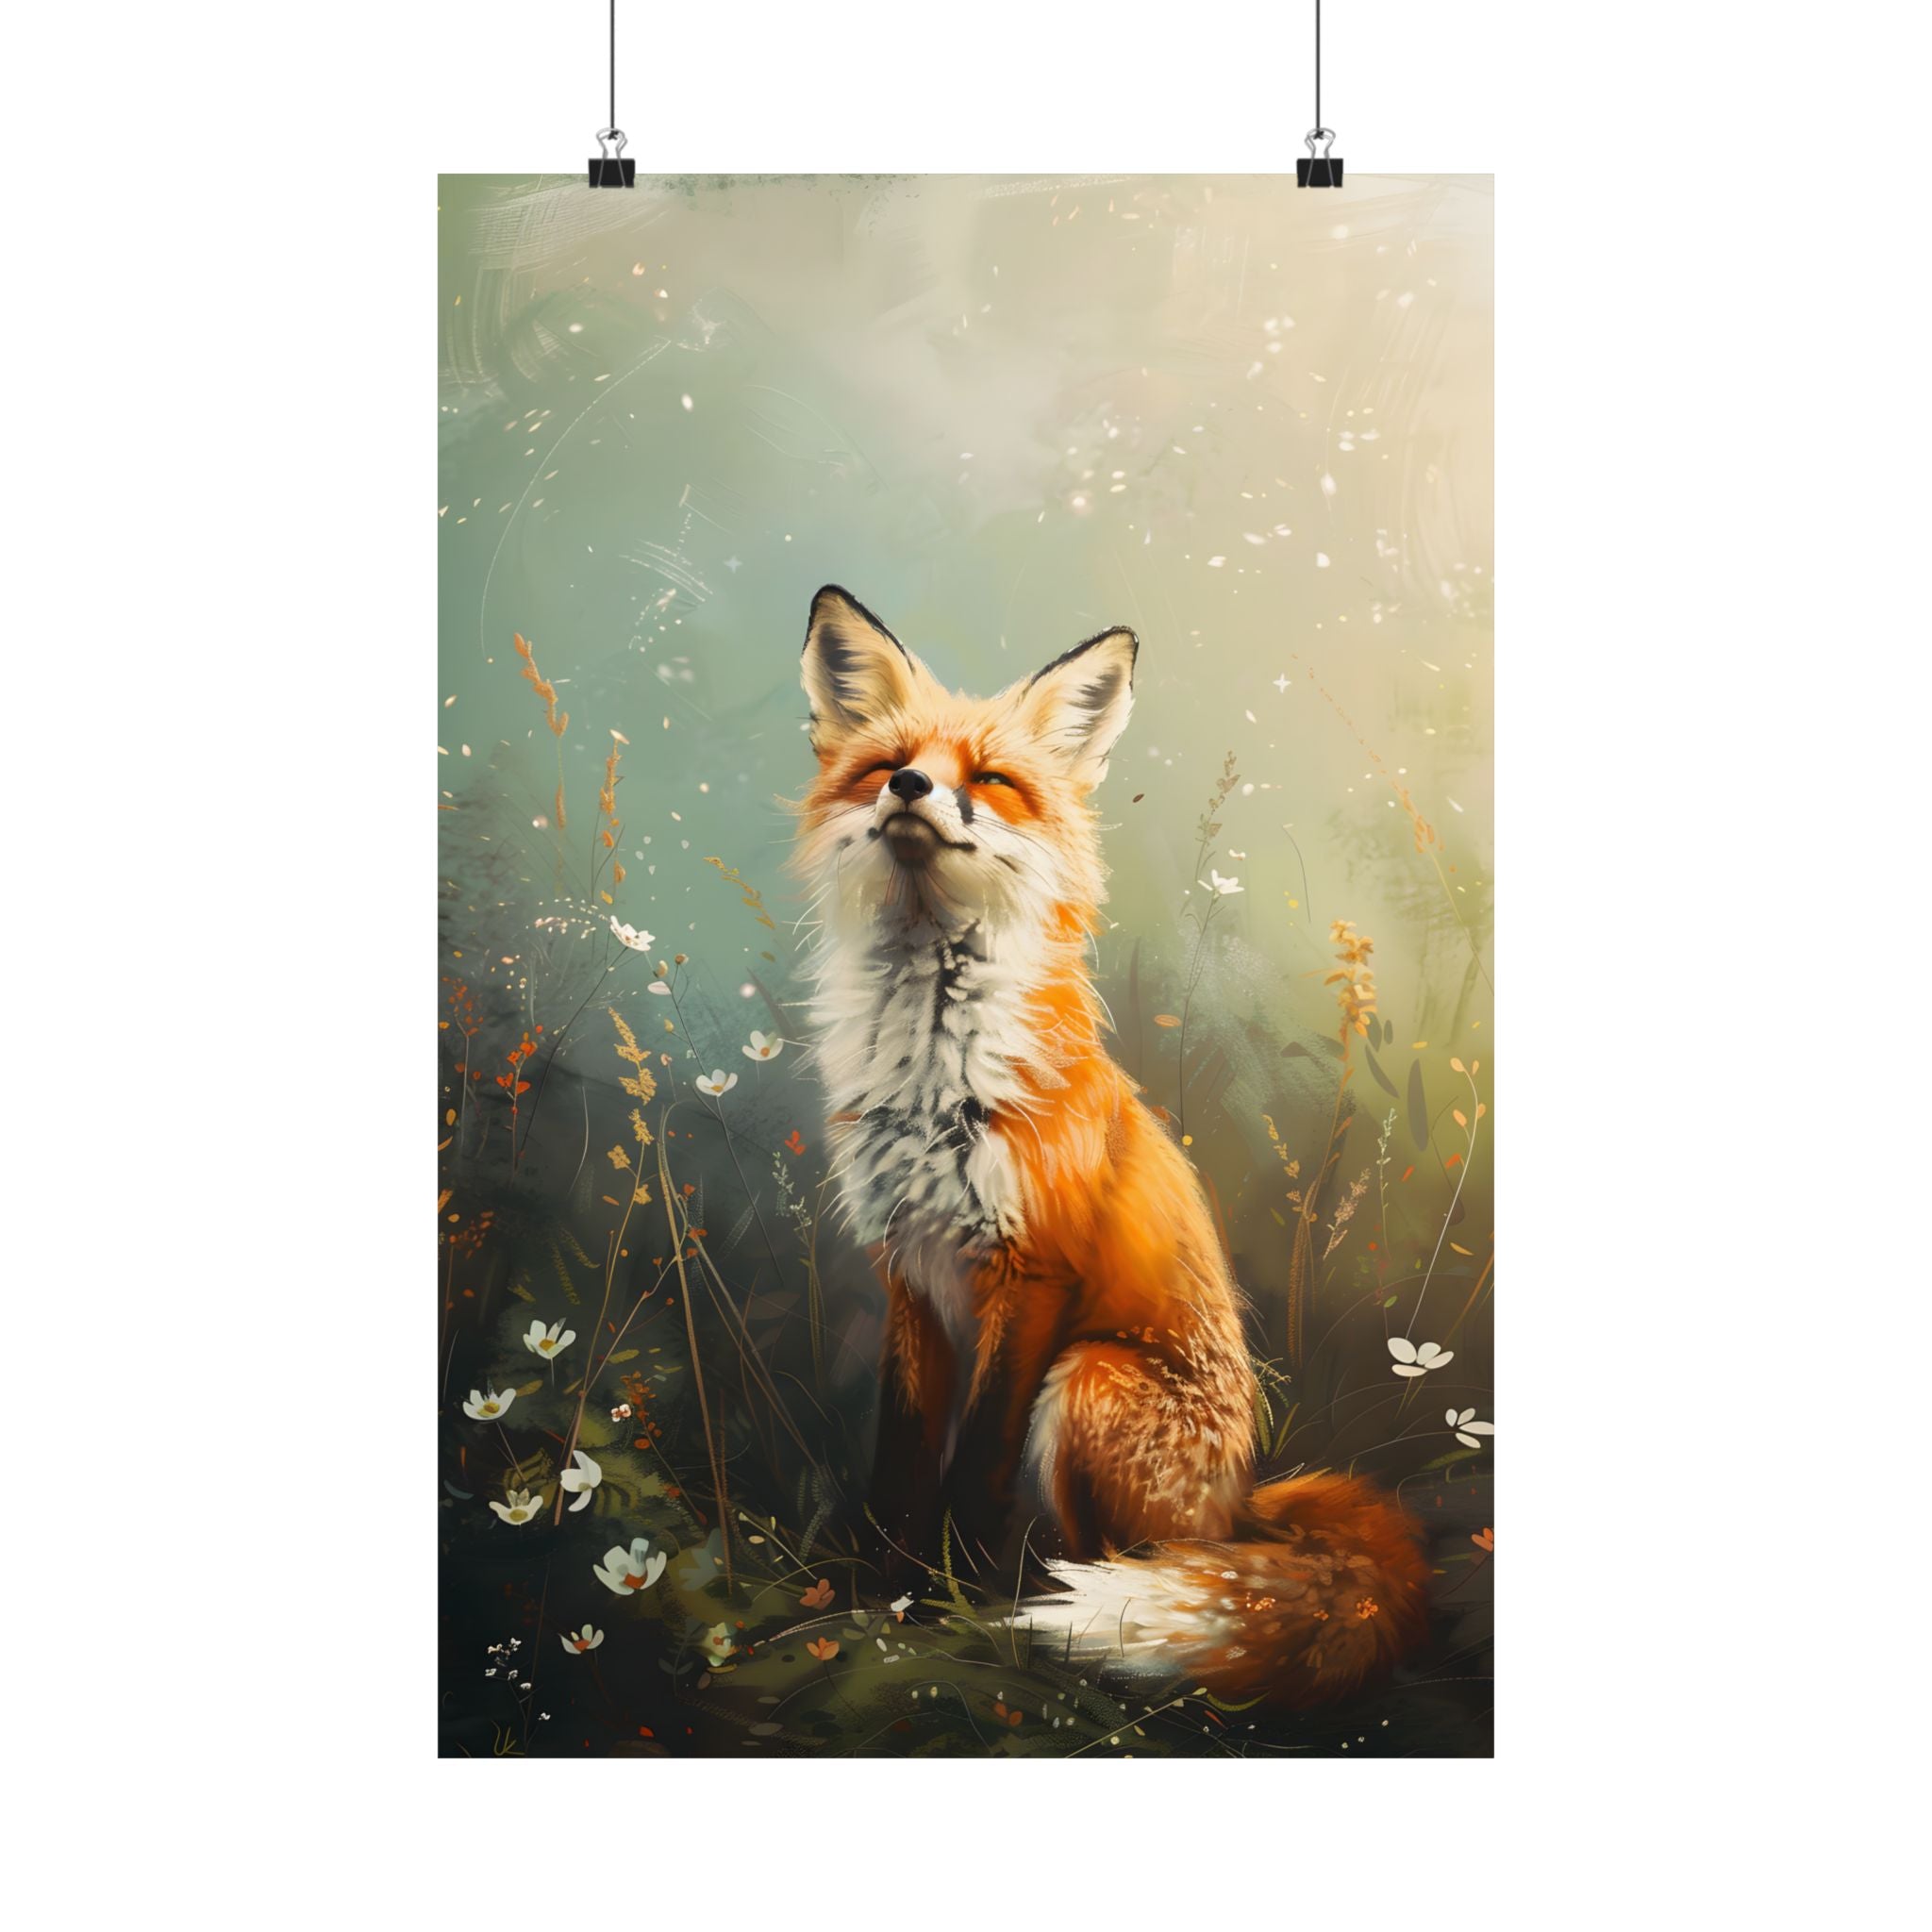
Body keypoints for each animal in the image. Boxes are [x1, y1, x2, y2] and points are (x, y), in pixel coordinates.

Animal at [791, 584, 1430, 1707]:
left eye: (990, 780)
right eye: (889, 764)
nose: (912, 787)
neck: (934, 1066)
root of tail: (1241, 1505)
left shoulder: (1033, 1270)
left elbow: (974, 1466)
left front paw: (949, 1601)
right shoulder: (907, 1268)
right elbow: (900, 1457)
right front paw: (883, 1589)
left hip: (1087, 1378)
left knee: (1133, 1563)